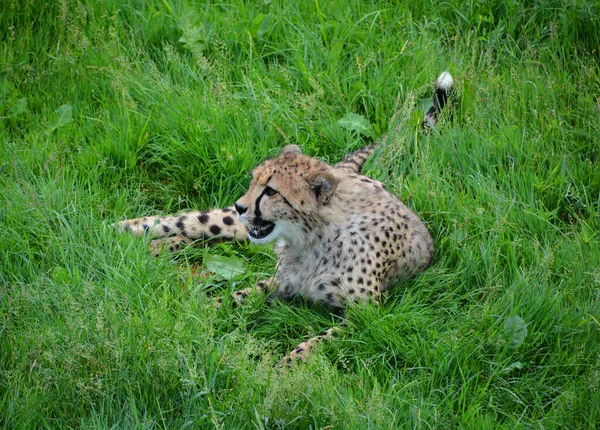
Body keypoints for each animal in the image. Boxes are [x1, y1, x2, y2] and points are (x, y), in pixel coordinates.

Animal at [116, 72, 454, 364]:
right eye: (253, 180)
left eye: (271, 191)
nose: (241, 205)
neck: (311, 239)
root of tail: (343, 172)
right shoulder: (281, 282)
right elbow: (239, 295)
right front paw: (205, 309)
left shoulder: (366, 314)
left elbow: (318, 341)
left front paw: (286, 366)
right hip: (235, 227)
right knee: (195, 223)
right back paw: (125, 229)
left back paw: (161, 247)